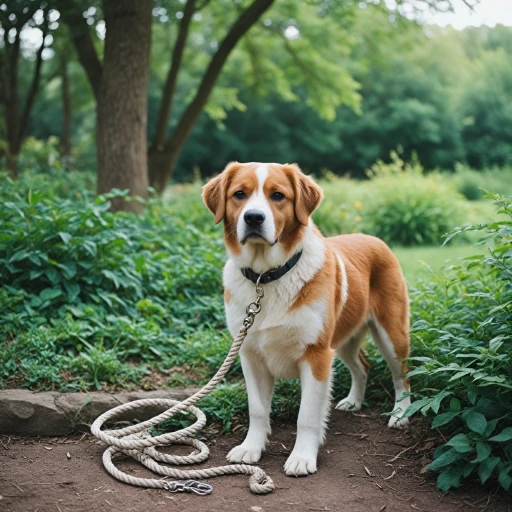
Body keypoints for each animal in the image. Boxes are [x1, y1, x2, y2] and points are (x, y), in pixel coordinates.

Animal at [202, 163, 410, 476]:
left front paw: (302, 457)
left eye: (278, 195)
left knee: (402, 377)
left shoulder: (316, 355)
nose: (253, 217)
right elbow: (257, 409)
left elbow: (307, 416)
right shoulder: (251, 355)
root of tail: (372, 238)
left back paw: (401, 414)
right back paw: (354, 402)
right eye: (239, 194)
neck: (266, 277)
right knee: (362, 366)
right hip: (342, 343)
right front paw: (251, 448)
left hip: (391, 337)